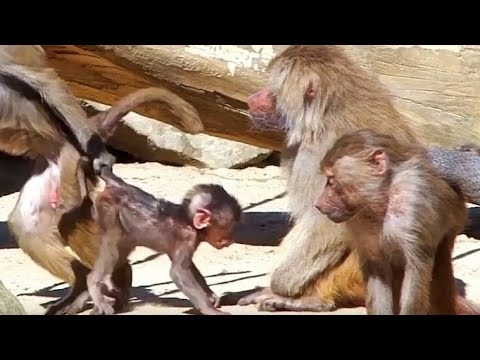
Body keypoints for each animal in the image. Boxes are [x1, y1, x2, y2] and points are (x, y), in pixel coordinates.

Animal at [316, 129, 470, 316]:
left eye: (331, 180)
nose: (318, 204)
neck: (384, 197)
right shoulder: (359, 220)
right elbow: (377, 268)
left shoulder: (414, 201)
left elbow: (416, 269)